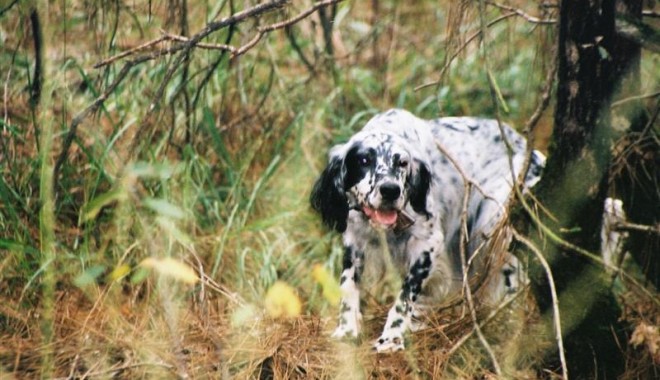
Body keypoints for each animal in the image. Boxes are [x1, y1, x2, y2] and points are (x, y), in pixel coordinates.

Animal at [310, 108, 548, 352]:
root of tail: (533, 152)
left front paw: (391, 337)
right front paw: (347, 330)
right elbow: (348, 286)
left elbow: (404, 296)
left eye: (402, 162)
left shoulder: (428, 244)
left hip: (491, 223)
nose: (390, 190)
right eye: (364, 160)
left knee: (514, 273)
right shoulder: (355, 241)